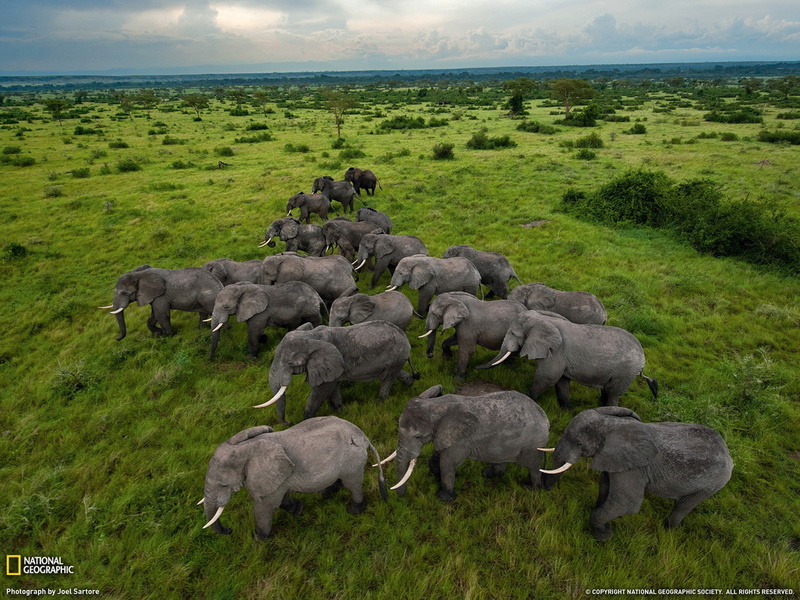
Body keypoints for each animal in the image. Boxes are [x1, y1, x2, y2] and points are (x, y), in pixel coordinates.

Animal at [200, 417, 387, 541]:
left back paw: (354, 510)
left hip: (352, 461)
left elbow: (264, 507)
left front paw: (260, 539)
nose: (229, 531)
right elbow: (282, 498)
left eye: (223, 485)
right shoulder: (279, 478)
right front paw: (297, 509)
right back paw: (326, 495)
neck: (246, 447)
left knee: (352, 484)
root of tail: (364, 437)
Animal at [258, 321, 418, 424]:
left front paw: (307, 421)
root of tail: (404, 335)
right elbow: (333, 387)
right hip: (397, 357)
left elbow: (321, 390)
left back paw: (379, 403)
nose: (288, 422)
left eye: (291, 364)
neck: (311, 335)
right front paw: (339, 412)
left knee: (387, 379)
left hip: (397, 354)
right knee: (392, 374)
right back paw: (410, 383)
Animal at [389, 385, 550, 502]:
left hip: (533, 444)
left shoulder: (461, 441)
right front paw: (437, 476)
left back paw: (533, 489)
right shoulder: (445, 434)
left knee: (533, 466)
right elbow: (437, 456)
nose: (401, 497)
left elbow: (447, 463)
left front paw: (444, 498)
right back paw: (489, 474)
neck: (435, 405)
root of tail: (544, 416)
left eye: (417, 437)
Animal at [478, 310, 658, 409]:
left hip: (625, 372)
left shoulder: (557, 352)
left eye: (513, 334)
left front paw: (528, 399)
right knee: (607, 390)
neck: (544, 319)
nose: (476, 368)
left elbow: (546, 378)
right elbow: (562, 381)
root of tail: (643, 359)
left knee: (614, 393)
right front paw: (567, 410)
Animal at [539, 407, 733, 540]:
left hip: (715, 482)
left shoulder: (634, 468)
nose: (545, 490)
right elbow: (605, 486)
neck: (614, 425)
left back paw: (669, 530)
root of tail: (728, 453)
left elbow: (627, 503)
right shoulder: (614, 459)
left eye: (579, 444)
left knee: (684, 505)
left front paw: (603, 535)